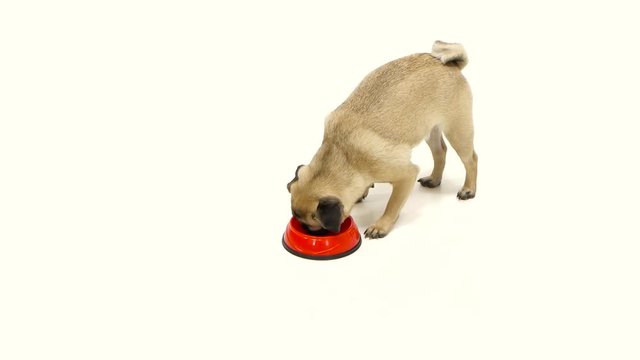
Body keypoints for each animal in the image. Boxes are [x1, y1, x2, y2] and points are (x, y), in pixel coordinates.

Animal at [288, 40, 478, 239]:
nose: (307, 230)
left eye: (315, 227)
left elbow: (392, 205)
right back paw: (434, 179)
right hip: (430, 130)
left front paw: (381, 225)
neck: (341, 153)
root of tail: (451, 65)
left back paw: (468, 189)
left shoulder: (405, 175)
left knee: (471, 160)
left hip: (458, 130)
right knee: (440, 152)